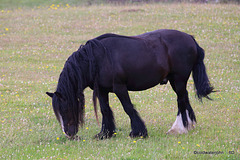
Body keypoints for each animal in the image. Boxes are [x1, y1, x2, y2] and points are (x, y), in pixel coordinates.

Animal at [46, 29, 214, 139]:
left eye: (65, 108)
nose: (68, 134)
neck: (97, 59)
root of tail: (190, 38)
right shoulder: (102, 90)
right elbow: (105, 110)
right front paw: (105, 133)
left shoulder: (120, 88)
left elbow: (128, 108)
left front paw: (138, 132)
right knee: (185, 98)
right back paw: (188, 126)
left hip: (178, 79)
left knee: (181, 100)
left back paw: (178, 129)